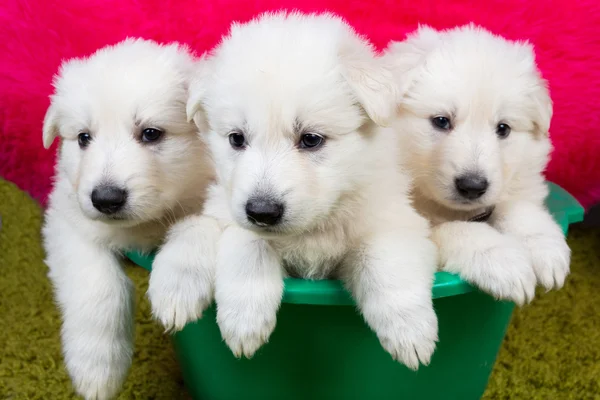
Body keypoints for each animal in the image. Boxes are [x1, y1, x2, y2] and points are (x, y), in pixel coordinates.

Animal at [41, 38, 213, 400]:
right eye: (83, 138)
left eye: (151, 133)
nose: (106, 199)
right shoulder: (67, 219)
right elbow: (99, 284)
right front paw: (96, 371)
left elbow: (195, 225)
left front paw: (176, 291)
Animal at [155, 11, 438, 368]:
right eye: (236, 138)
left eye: (311, 139)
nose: (262, 212)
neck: (312, 228)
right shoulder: (226, 208)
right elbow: (248, 244)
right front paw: (244, 321)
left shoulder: (392, 219)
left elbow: (385, 262)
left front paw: (410, 332)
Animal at [382, 25, 568, 304]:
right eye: (441, 121)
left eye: (503, 128)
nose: (473, 186)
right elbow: (457, 230)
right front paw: (505, 262)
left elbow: (516, 207)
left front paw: (546, 247)